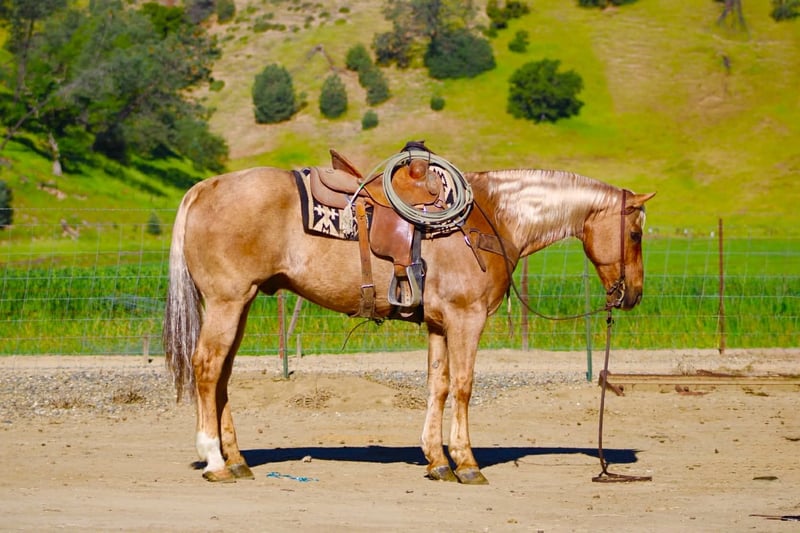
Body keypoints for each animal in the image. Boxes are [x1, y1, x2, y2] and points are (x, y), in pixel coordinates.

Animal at [163, 153, 655, 484]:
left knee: (222, 376)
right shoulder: (465, 319)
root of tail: (204, 187)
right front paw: (466, 462)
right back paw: (214, 460)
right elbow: (463, 386)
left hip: (240, 304)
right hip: (227, 302)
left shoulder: (438, 323)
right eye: (635, 233)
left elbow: (437, 385)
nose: (633, 295)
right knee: (207, 368)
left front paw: (437, 461)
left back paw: (237, 459)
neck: (492, 218)